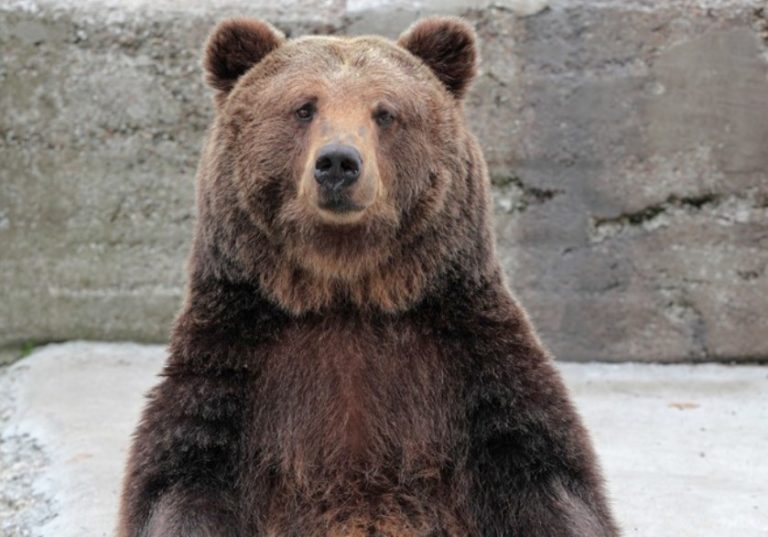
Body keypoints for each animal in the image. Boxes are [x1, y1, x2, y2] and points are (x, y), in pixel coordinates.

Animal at [117, 16, 619, 537]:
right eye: (304, 107)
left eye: (385, 112)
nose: (338, 162)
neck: (348, 289)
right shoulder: (232, 372)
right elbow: (182, 484)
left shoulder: (477, 373)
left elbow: (550, 483)